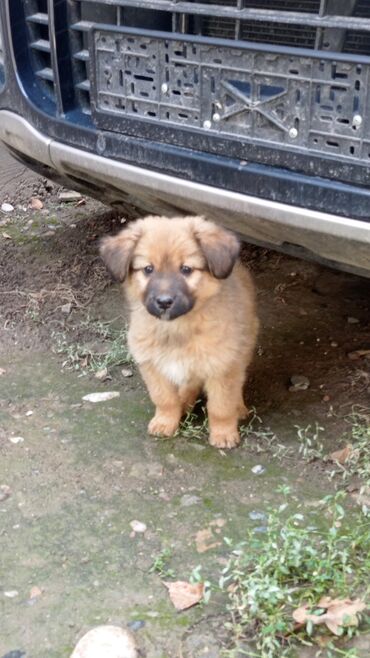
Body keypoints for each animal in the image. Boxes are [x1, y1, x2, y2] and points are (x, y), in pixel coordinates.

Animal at [99, 215, 258, 446]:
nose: (164, 302)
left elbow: (221, 406)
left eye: (186, 269)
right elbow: (164, 399)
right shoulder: (152, 364)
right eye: (148, 269)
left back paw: (238, 407)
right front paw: (165, 422)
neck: (176, 329)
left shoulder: (222, 365)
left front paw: (223, 433)